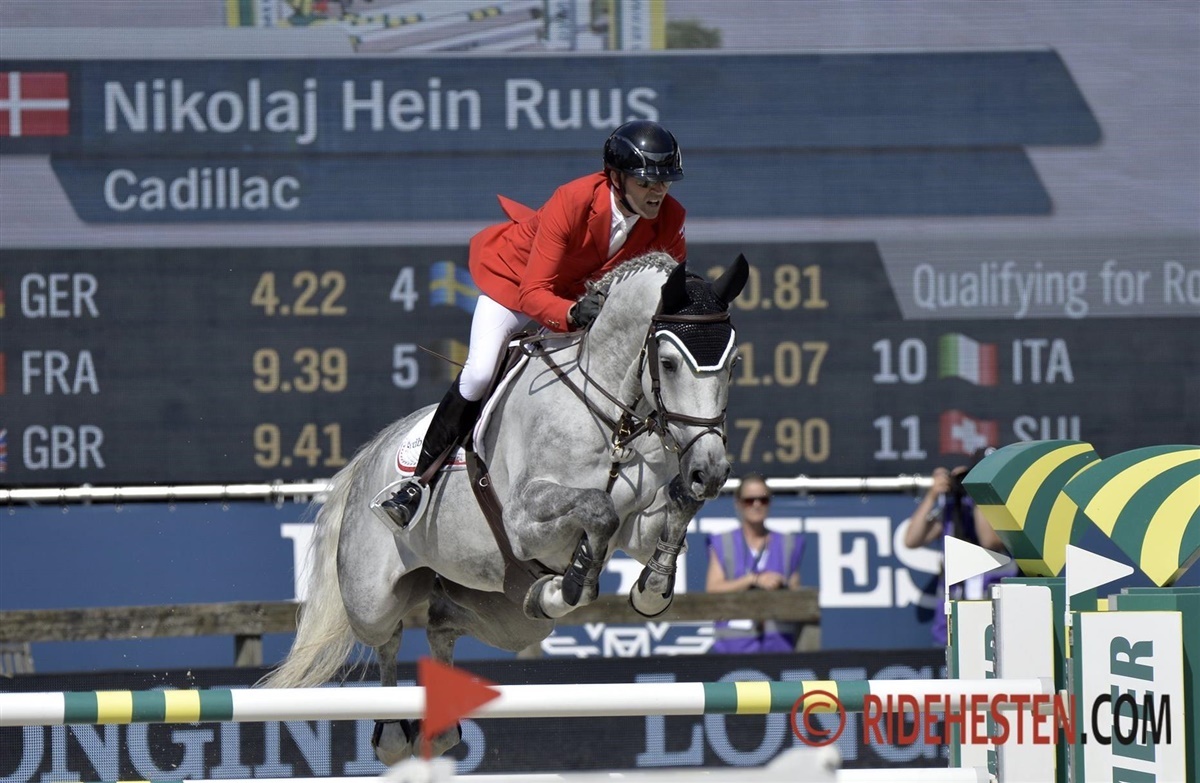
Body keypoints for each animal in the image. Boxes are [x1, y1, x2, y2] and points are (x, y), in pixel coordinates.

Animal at [260, 251, 748, 762]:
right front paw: (577, 576)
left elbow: (672, 511)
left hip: (508, 619)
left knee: (444, 622)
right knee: (387, 638)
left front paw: (650, 588)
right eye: (669, 363)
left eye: (734, 363)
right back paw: (394, 731)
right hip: (372, 599)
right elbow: (597, 508)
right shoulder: (522, 520)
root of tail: (368, 457)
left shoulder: (637, 525)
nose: (711, 470)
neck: (612, 420)